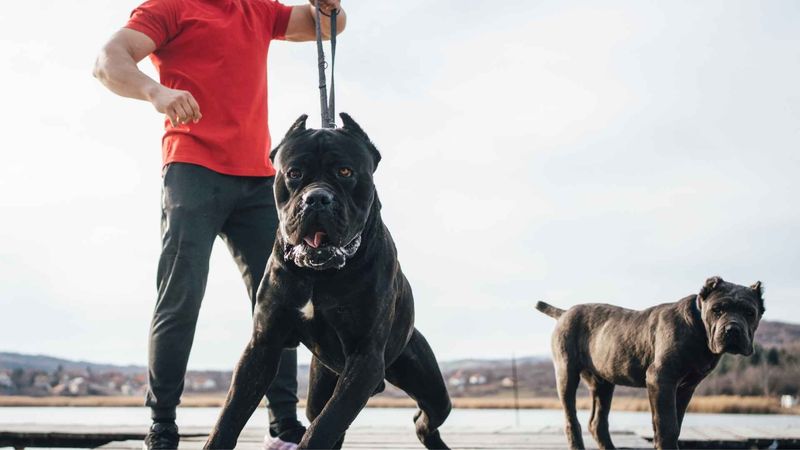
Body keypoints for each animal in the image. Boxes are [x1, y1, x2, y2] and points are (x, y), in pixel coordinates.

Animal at [206, 114, 450, 448]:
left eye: (345, 171)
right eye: (294, 173)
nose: (317, 198)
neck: (317, 275)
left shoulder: (365, 359)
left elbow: (325, 425)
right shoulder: (262, 346)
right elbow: (230, 413)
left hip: (428, 385)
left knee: (424, 419)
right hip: (321, 385)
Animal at [536, 276, 764, 448]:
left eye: (750, 312)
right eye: (717, 310)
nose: (732, 329)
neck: (699, 329)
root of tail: (564, 313)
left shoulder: (685, 387)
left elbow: (674, 423)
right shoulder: (661, 379)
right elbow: (667, 425)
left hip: (603, 383)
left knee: (597, 423)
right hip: (566, 374)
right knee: (571, 419)